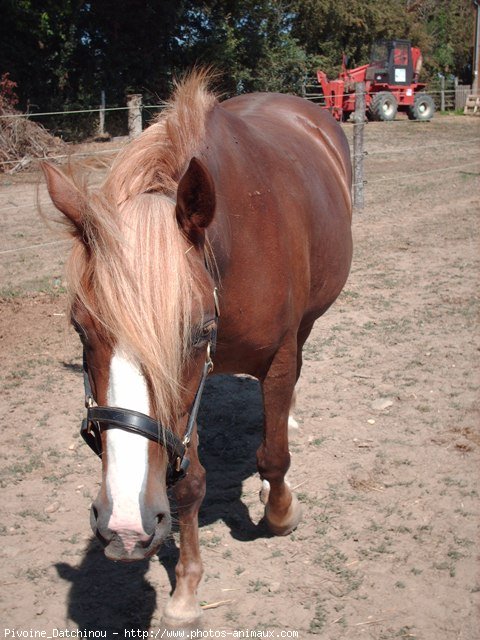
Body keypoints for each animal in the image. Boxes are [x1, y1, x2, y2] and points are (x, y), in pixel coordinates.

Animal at [42, 74, 352, 624]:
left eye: (200, 331)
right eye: (80, 329)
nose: (123, 526)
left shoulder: (274, 360)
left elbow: (274, 456)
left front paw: (282, 511)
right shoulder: (187, 401)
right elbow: (187, 484)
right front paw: (186, 591)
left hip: (309, 322)